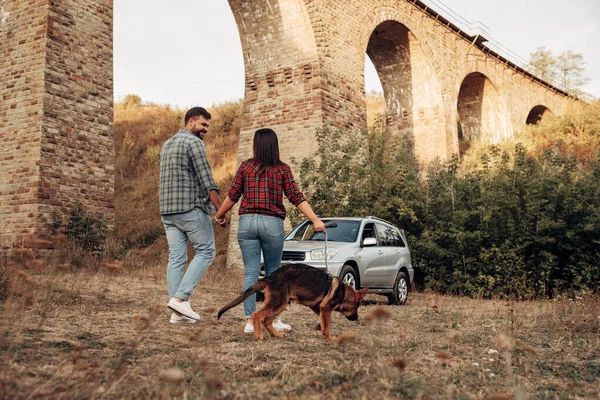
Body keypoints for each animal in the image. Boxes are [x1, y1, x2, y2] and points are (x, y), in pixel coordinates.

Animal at [216, 262, 366, 340]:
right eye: (356, 306)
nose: (357, 318)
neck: (343, 292)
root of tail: (271, 276)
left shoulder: (318, 306)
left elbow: (324, 321)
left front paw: (319, 326)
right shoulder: (326, 307)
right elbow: (328, 326)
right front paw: (330, 338)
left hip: (280, 304)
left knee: (267, 320)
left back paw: (276, 334)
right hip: (279, 303)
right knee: (257, 315)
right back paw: (259, 335)